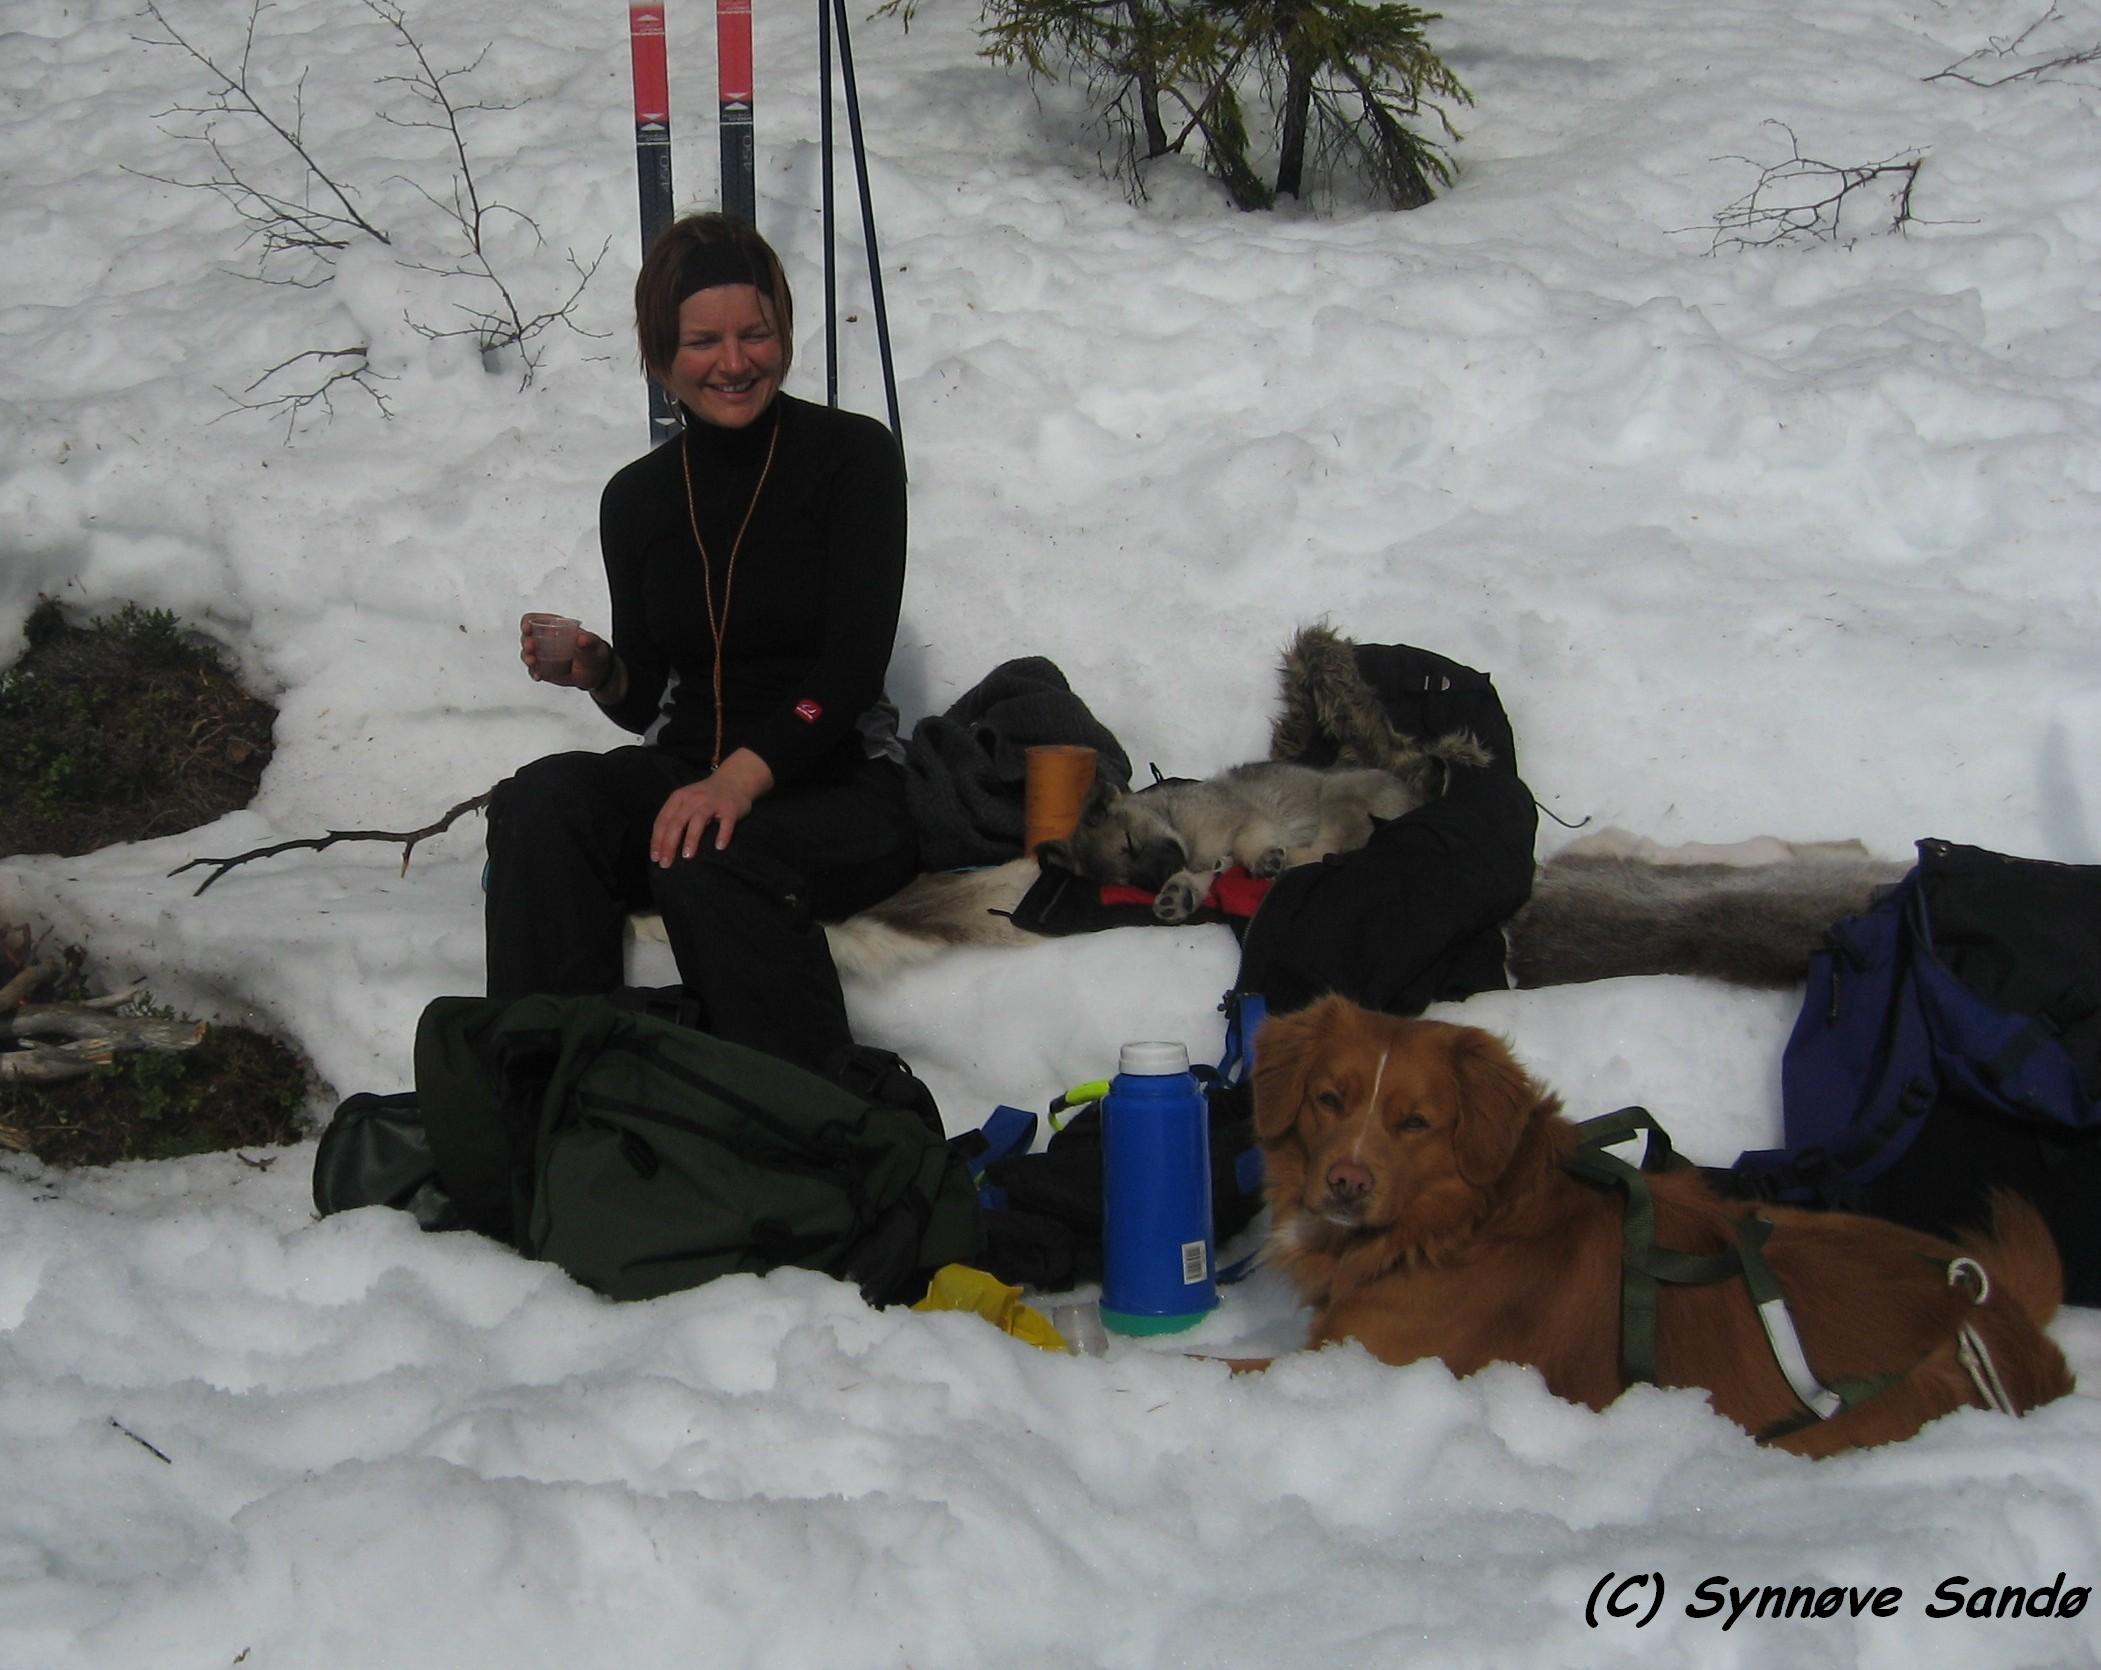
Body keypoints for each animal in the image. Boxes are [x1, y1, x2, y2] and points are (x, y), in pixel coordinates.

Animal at [1243, 999, 2067, 1453]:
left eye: (1415, 1122)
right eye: (1328, 1099)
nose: (1346, 1182)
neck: (1463, 1224)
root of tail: (1991, 1302)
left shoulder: (1369, 1364)